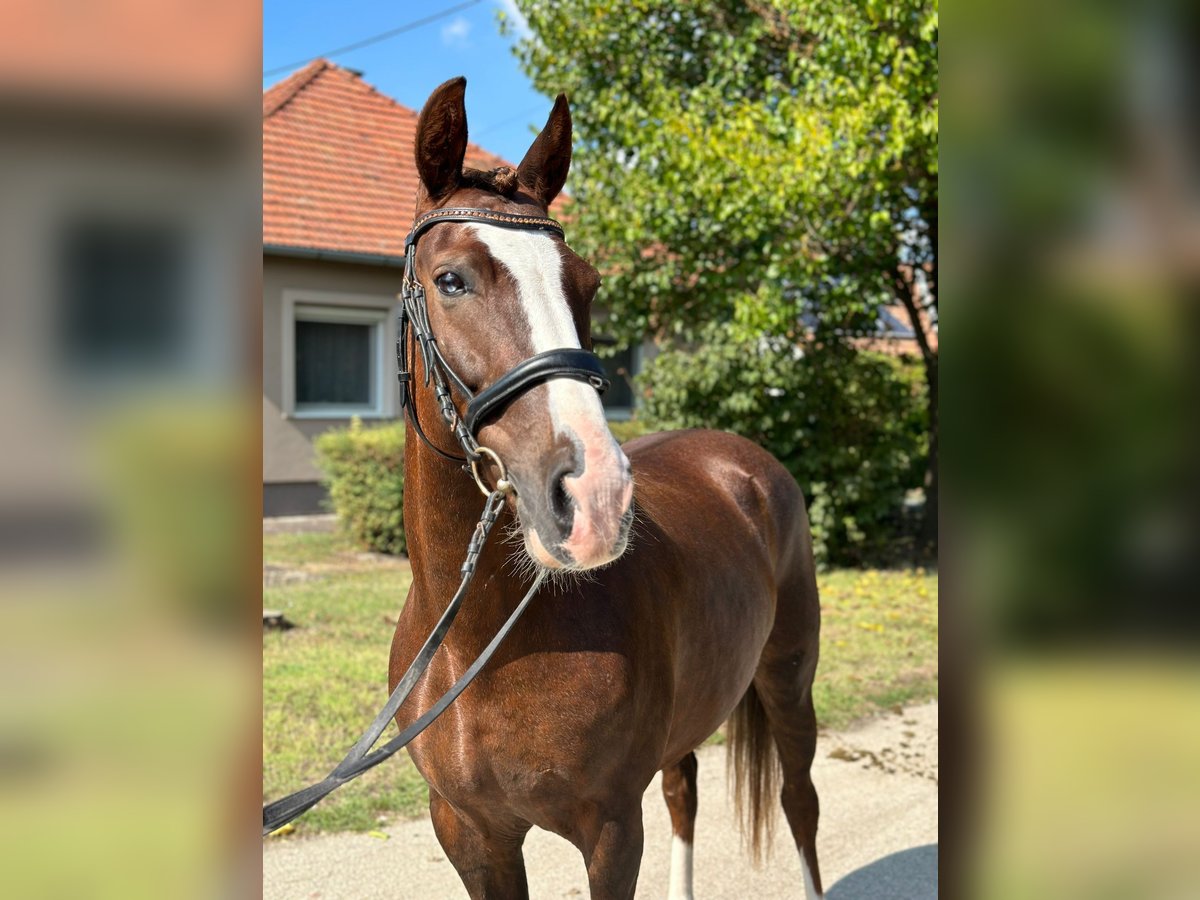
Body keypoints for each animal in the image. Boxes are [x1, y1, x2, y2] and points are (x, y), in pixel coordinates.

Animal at [388, 79, 820, 900]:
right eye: (451, 279)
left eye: (586, 284)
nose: (594, 498)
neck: (482, 647)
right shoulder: (469, 834)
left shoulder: (612, 830)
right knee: (685, 789)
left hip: (789, 678)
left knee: (799, 804)